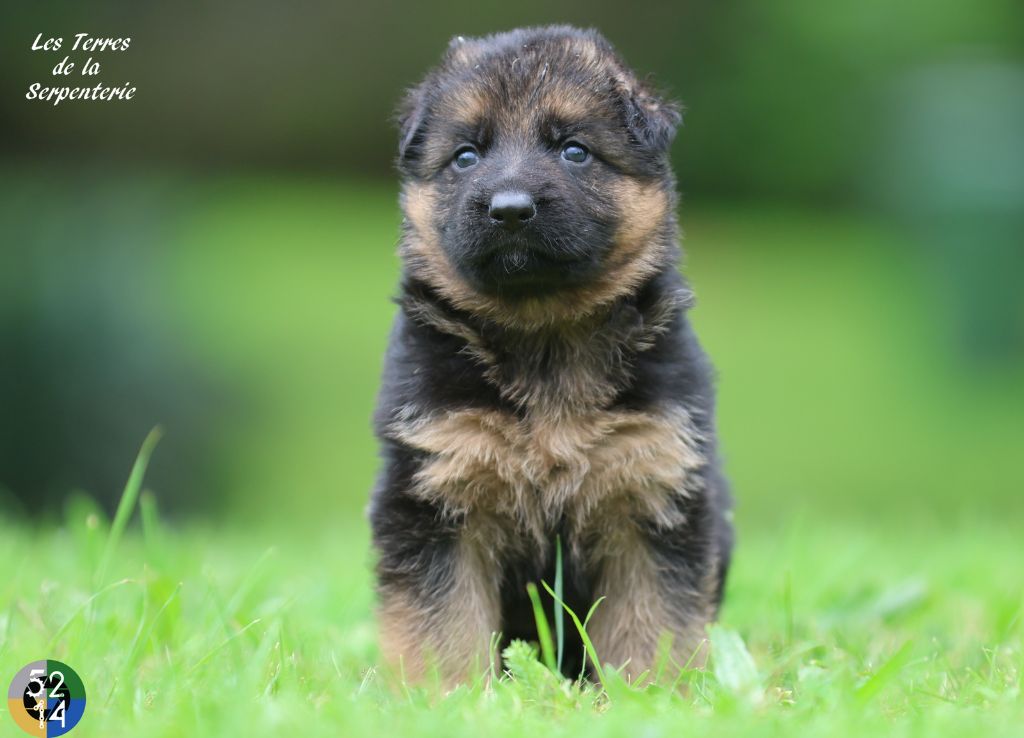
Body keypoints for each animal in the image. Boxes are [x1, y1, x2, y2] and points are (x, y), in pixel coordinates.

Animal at [372, 24, 733, 683]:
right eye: (466, 156)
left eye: (574, 151)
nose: (510, 209)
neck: (544, 336)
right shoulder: (436, 494)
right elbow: (442, 627)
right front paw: (444, 695)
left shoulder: (652, 491)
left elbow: (653, 624)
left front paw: (652, 694)